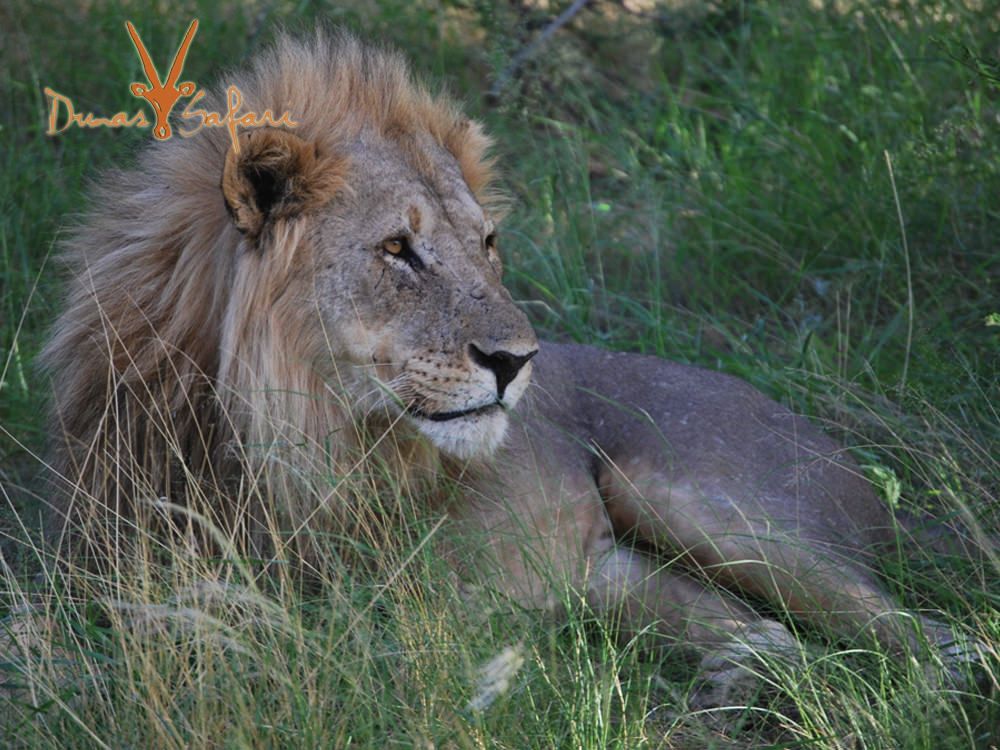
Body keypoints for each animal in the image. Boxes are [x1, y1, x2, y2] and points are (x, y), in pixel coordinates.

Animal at [41, 30, 984, 712]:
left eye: (486, 242)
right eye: (398, 248)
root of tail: (860, 477)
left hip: (707, 502)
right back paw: (740, 682)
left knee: (931, 631)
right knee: (766, 633)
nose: (517, 361)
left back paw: (928, 692)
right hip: (610, 574)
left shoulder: (391, 614)